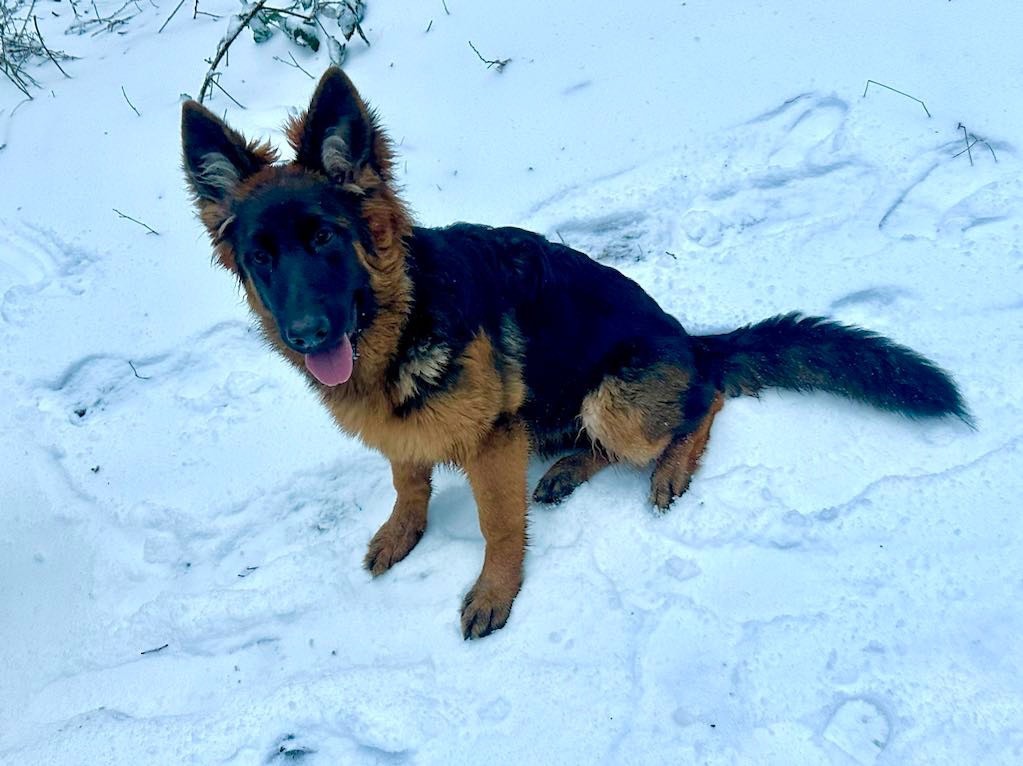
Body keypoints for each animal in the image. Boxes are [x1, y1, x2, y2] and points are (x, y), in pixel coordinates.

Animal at [181, 68, 970, 639]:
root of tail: (689, 337)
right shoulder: (406, 435)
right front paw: (403, 533)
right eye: (261, 257)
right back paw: (565, 471)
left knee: (704, 400)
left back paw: (670, 466)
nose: (307, 333)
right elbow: (409, 484)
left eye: (324, 238)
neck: (403, 319)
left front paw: (494, 593)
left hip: (615, 398)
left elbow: (499, 526)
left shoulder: (492, 444)